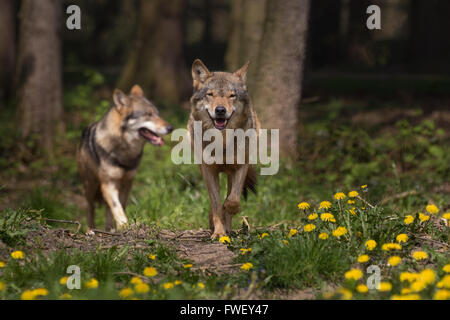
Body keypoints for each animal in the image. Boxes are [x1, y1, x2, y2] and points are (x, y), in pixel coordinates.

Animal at [77, 85, 172, 232]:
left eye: (157, 114)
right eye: (148, 114)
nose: (170, 128)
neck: (126, 152)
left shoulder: (127, 183)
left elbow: (120, 206)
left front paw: (122, 227)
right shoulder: (108, 184)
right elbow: (117, 207)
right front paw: (124, 225)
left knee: (107, 210)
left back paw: (109, 230)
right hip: (90, 187)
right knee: (90, 209)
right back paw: (90, 231)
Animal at [187, 59, 260, 240]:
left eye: (232, 95)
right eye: (210, 94)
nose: (220, 110)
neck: (223, 141)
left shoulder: (241, 166)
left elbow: (233, 199)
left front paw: (229, 212)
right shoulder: (209, 171)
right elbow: (216, 204)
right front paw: (218, 232)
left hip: (232, 171)